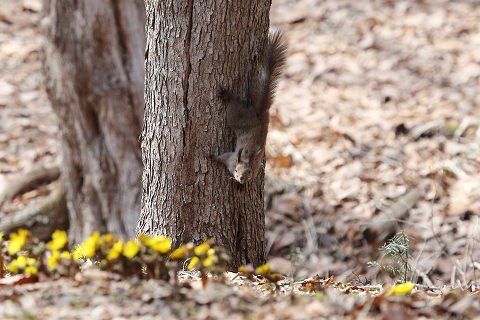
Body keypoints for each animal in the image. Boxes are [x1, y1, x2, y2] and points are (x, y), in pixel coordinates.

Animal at [213, 31, 286, 185]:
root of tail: (258, 114)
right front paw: (210, 156)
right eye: (236, 171)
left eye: (249, 173)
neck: (246, 161)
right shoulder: (231, 160)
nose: (241, 180)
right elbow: (222, 157)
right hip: (237, 115)